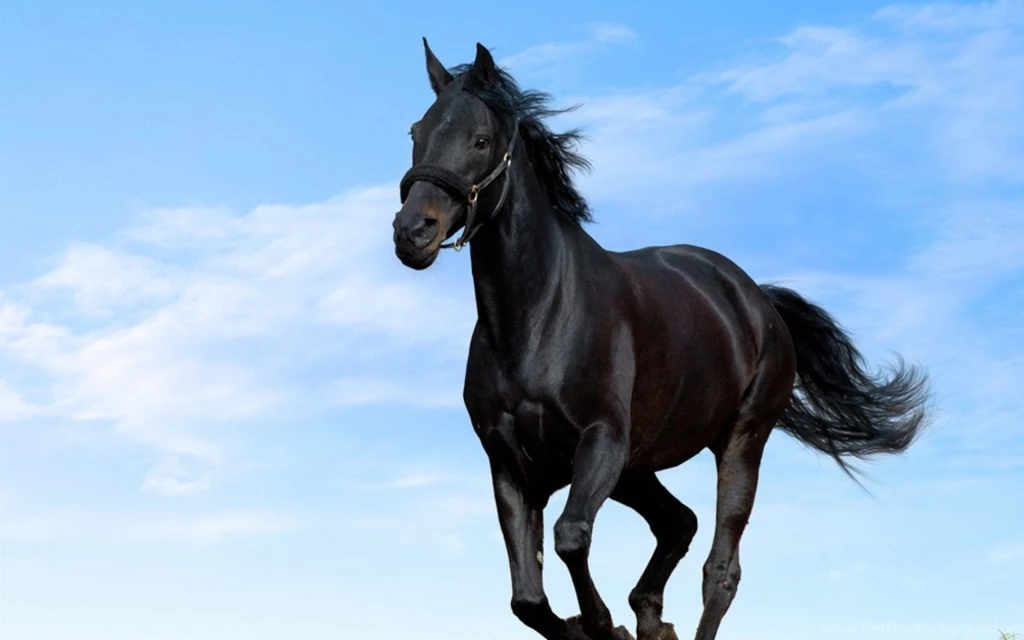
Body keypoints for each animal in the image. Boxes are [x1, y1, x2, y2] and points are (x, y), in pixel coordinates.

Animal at [390, 40, 931, 640]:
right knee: (678, 523)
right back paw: (649, 616)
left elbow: (570, 536)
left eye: (481, 139)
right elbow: (526, 599)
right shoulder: (510, 463)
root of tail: (756, 300)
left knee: (719, 569)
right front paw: (597, 625)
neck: (535, 321)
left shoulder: (601, 441)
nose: (412, 232)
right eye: (416, 131)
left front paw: (602, 624)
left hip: (739, 441)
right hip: (637, 469)